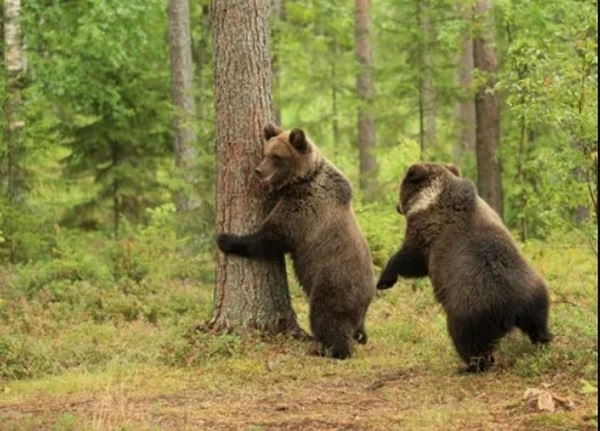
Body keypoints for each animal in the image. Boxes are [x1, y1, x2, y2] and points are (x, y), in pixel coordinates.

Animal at [216, 123, 376, 360]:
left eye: (277, 156)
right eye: (265, 153)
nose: (258, 170)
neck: (303, 179)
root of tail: (368, 296)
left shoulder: (302, 211)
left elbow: (269, 238)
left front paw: (225, 239)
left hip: (334, 283)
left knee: (326, 317)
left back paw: (327, 349)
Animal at [378, 164, 556, 372]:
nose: (397, 206)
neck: (431, 197)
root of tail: (512, 307)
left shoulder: (427, 231)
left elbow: (410, 258)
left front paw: (384, 280)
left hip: (468, 311)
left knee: (468, 341)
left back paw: (470, 366)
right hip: (534, 295)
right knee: (538, 324)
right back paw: (544, 341)